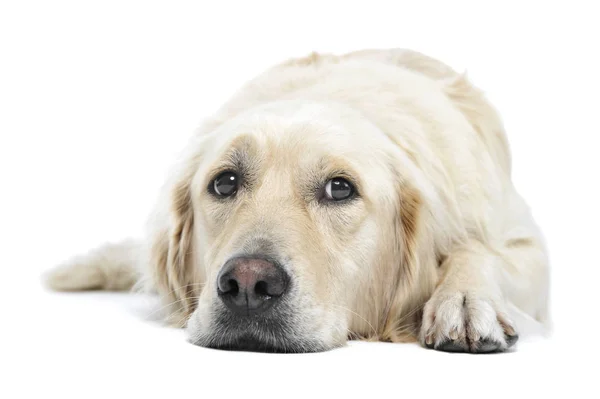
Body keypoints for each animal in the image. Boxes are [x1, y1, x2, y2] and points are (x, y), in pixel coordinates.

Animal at [44, 49, 552, 354]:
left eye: (340, 188)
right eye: (224, 183)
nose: (249, 285)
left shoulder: (524, 244)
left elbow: (479, 249)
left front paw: (463, 300)